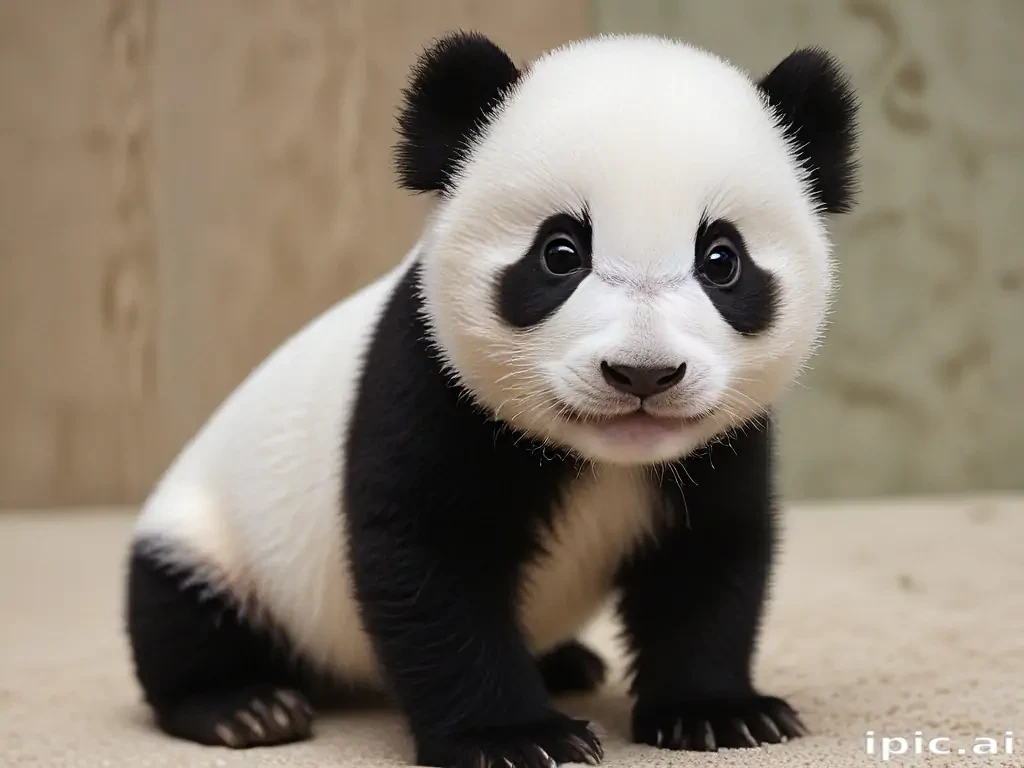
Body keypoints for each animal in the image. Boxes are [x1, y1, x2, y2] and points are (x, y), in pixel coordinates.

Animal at [125, 30, 858, 768]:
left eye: (722, 260)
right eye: (559, 252)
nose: (642, 374)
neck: (603, 456)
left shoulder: (721, 441)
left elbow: (709, 554)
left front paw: (718, 714)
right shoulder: (432, 384)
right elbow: (432, 561)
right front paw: (511, 737)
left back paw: (566, 664)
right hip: (221, 538)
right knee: (180, 609)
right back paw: (244, 708)